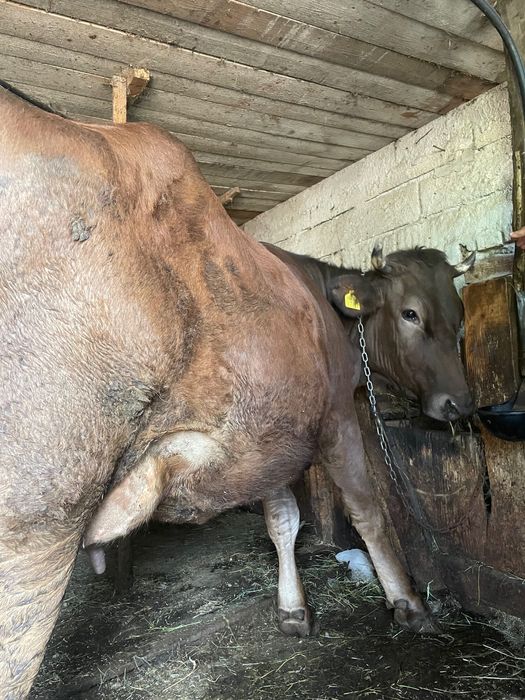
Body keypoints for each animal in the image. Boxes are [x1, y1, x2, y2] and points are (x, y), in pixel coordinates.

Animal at [0, 83, 474, 698]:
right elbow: (368, 510)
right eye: (411, 313)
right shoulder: (335, 418)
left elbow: (282, 522)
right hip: (35, 525)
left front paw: (293, 611)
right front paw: (409, 605)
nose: (460, 403)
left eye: (461, 317)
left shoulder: (270, 436)